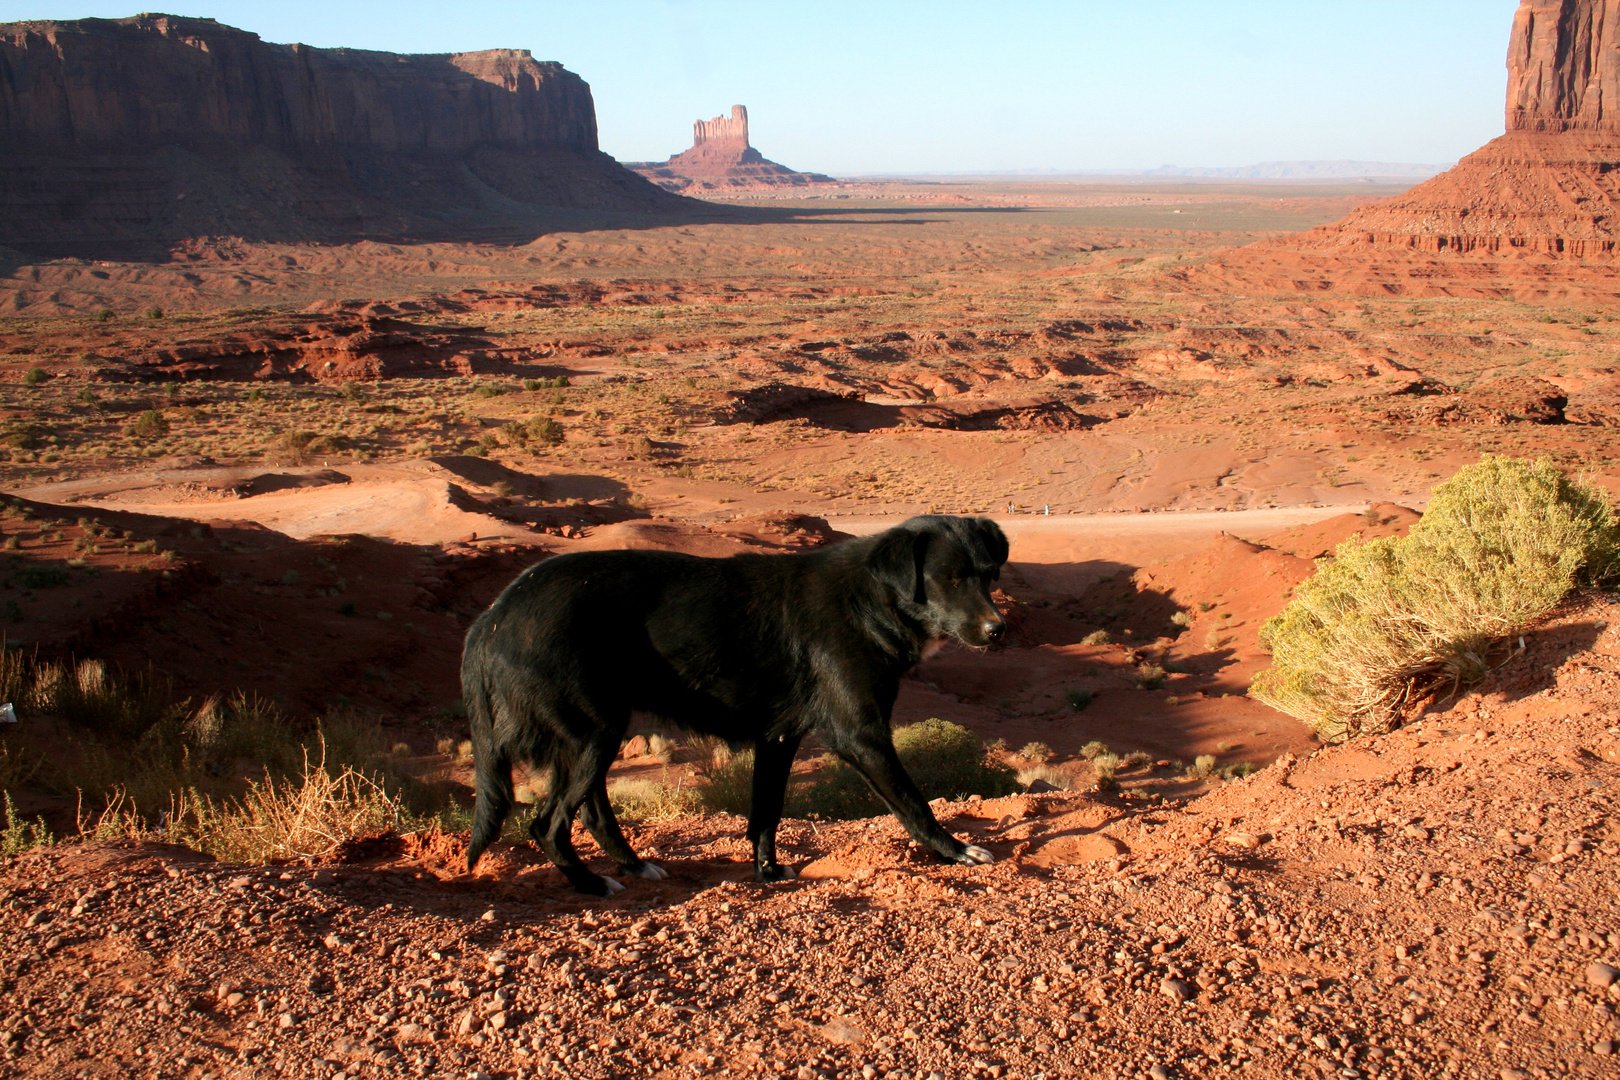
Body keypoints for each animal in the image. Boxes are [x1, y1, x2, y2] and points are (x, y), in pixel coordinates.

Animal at [463, 514, 1004, 893]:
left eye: (989, 576)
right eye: (948, 579)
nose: (998, 630)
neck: (872, 598)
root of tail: (493, 615)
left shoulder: (778, 737)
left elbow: (766, 810)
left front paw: (768, 871)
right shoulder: (861, 737)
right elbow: (915, 804)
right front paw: (955, 851)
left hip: (592, 733)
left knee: (592, 810)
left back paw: (634, 866)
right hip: (591, 733)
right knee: (547, 824)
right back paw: (592, 884)